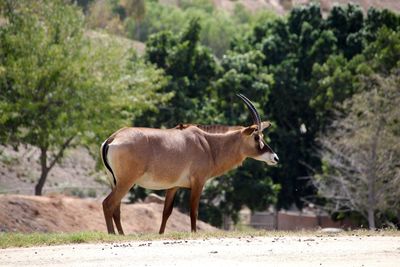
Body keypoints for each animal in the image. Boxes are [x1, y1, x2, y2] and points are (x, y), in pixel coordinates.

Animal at [101, 94, 278, 234]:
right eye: (257, 137)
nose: (275, 157)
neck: (208, 144)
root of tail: (112, 139)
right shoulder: (198, 183)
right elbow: (194, 211)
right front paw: (193, 233)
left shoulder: (173, 186)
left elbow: (166, 212)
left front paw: (161, 234)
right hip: (126, 182)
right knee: (108, 204)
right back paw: (112, 235)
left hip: (115, 182)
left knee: (116, 208)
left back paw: (121, 234)